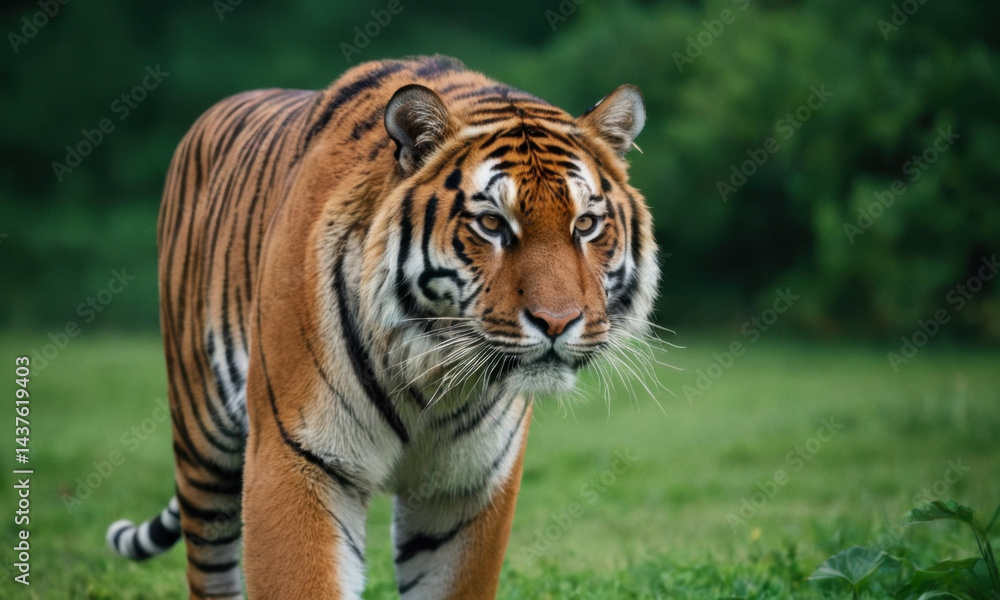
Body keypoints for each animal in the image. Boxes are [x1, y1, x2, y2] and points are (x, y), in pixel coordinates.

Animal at [105, 54, 658, 599]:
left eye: (585, 225)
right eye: (492, 224)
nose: (558, 322)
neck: (432, 372)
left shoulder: (467, 486)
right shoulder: (296, 460)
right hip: (203, 443)